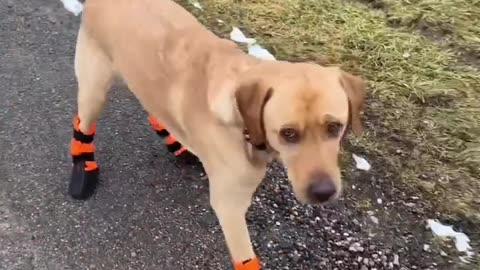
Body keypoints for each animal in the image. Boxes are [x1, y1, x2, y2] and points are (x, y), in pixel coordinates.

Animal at [62, 0, 366, 268]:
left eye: (334, 127)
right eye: (288, 133)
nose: (324, 193)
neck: (243, 125)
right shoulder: (229, 207)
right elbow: (246, 259)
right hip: (95, 88)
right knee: (84, 124)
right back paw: (84, 165)